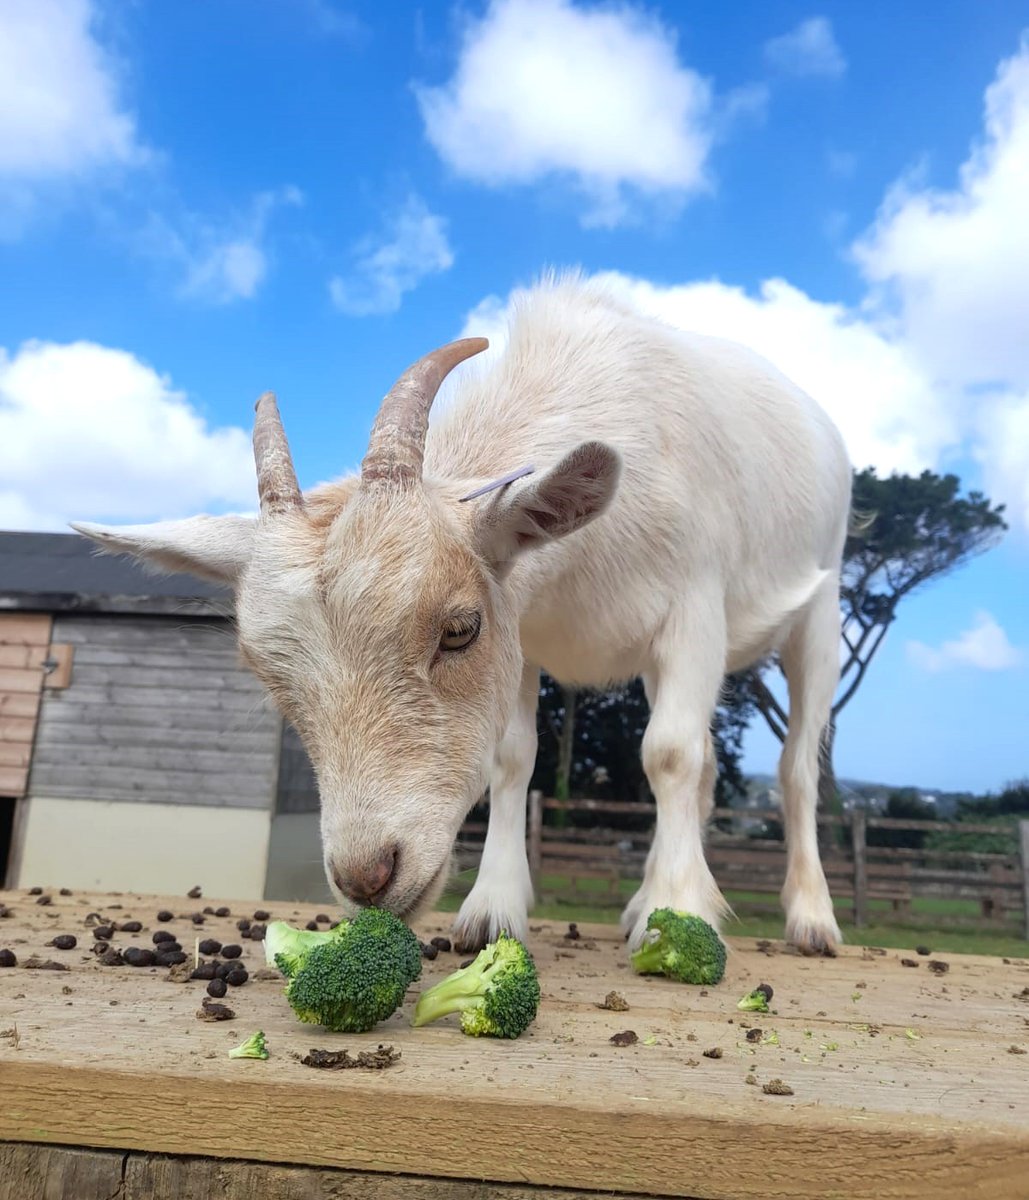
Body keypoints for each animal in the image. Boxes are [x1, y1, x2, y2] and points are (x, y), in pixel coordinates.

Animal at [73, 272, 851, 956]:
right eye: (269, 678)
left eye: (457, 630)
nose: (367, 876)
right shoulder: (524, 629)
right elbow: (513, 758)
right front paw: (492, 912)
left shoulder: (692, 610)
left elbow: (668, 754)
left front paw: (679, 912)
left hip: (819, 610)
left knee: (793, 767)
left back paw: (808, 919)